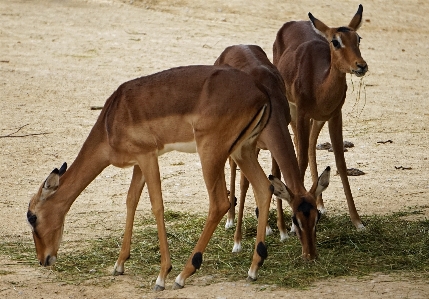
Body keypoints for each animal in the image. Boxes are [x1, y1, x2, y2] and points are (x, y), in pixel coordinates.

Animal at [26, 65, 276, 290]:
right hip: (243, 151)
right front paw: (119, 264)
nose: (43, 259)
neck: (110, 121)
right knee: (264, 188)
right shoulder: (139, 162)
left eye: (32, 217)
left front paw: (162, 275)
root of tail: (260, 93)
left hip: (211, 153)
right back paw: (253, 269)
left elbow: (157, 205)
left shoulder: (148, 156)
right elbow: (131, 201)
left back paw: (183, 275)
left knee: (220, 202)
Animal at [214, 44, 332, 258]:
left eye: (316, 217)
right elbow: (244, 184)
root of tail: (233, 47)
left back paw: (266, 226)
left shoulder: (271, 143)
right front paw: (237, 242)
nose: (310, 255)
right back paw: (230, 220)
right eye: (296, 220)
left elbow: (274, 176)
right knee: (232, 168)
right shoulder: (247, 145)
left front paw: (282, 232)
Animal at [272, 4, 366, 230]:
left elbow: (340, 162)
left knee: (311, 144)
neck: (318, 84)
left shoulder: (335, 115)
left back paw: (320, 204)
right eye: (335, 41)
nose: (361, 65)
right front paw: (294, 220)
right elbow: (301, 160)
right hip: (293, 112)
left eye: (358, 38)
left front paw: (358, 221)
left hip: (317, 119)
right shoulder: (302, 113)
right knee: (300, 148)